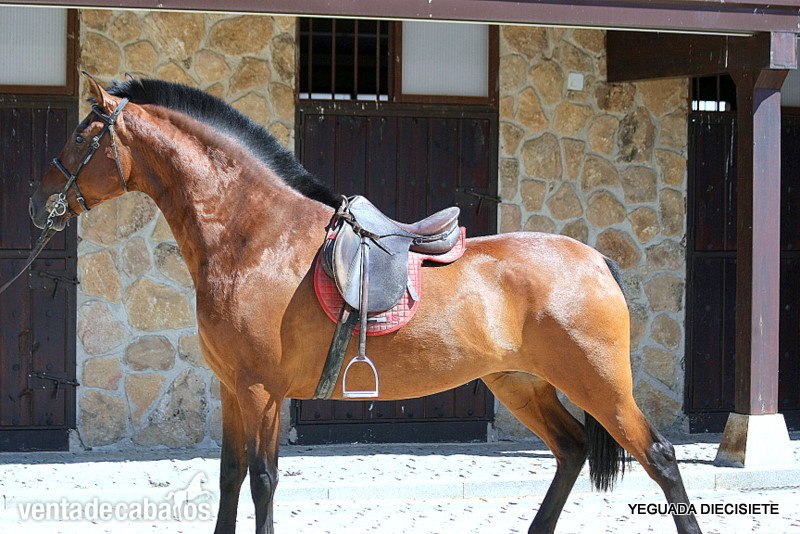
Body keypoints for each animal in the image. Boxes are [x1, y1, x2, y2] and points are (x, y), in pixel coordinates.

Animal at [29, 75, 702, 534]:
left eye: (85, 136)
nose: (39, 204)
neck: (255, 236)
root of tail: (594, 259)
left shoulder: (262, 391)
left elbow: (263, 481)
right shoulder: (232, 388)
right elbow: (229, 477)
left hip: (598, 382)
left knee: (660, 458)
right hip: (520, 381)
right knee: (570, 451)